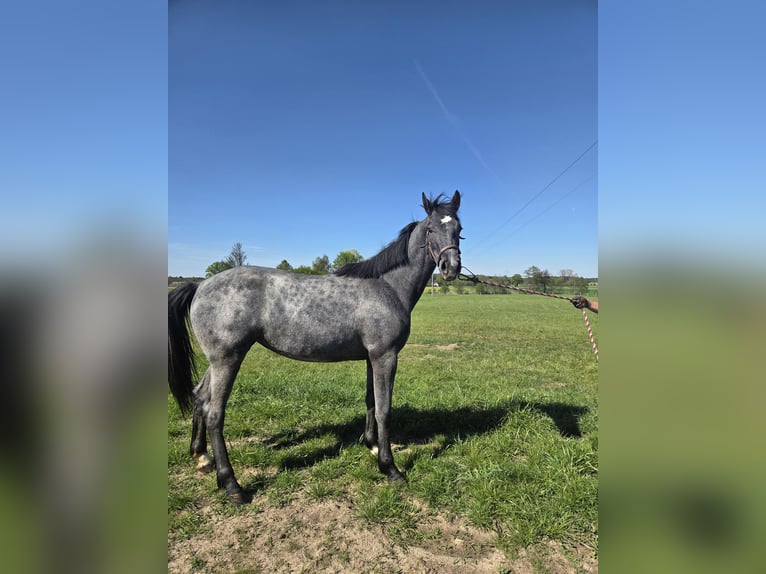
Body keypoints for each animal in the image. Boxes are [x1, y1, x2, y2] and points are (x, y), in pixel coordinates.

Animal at [168, 191, 463, 503]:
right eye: (430, 229)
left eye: (459, 229)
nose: (451, 267)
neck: (388, 287)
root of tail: (200, 286)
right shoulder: (385, 356)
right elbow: (384, 409)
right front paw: (390, 468)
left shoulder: (372, 357)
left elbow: (371, 401)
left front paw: (371, 446)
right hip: (227, 359)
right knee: (215, 414)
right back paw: (232, 485)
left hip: (218, 360)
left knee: (200, 398)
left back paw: (202, 458)